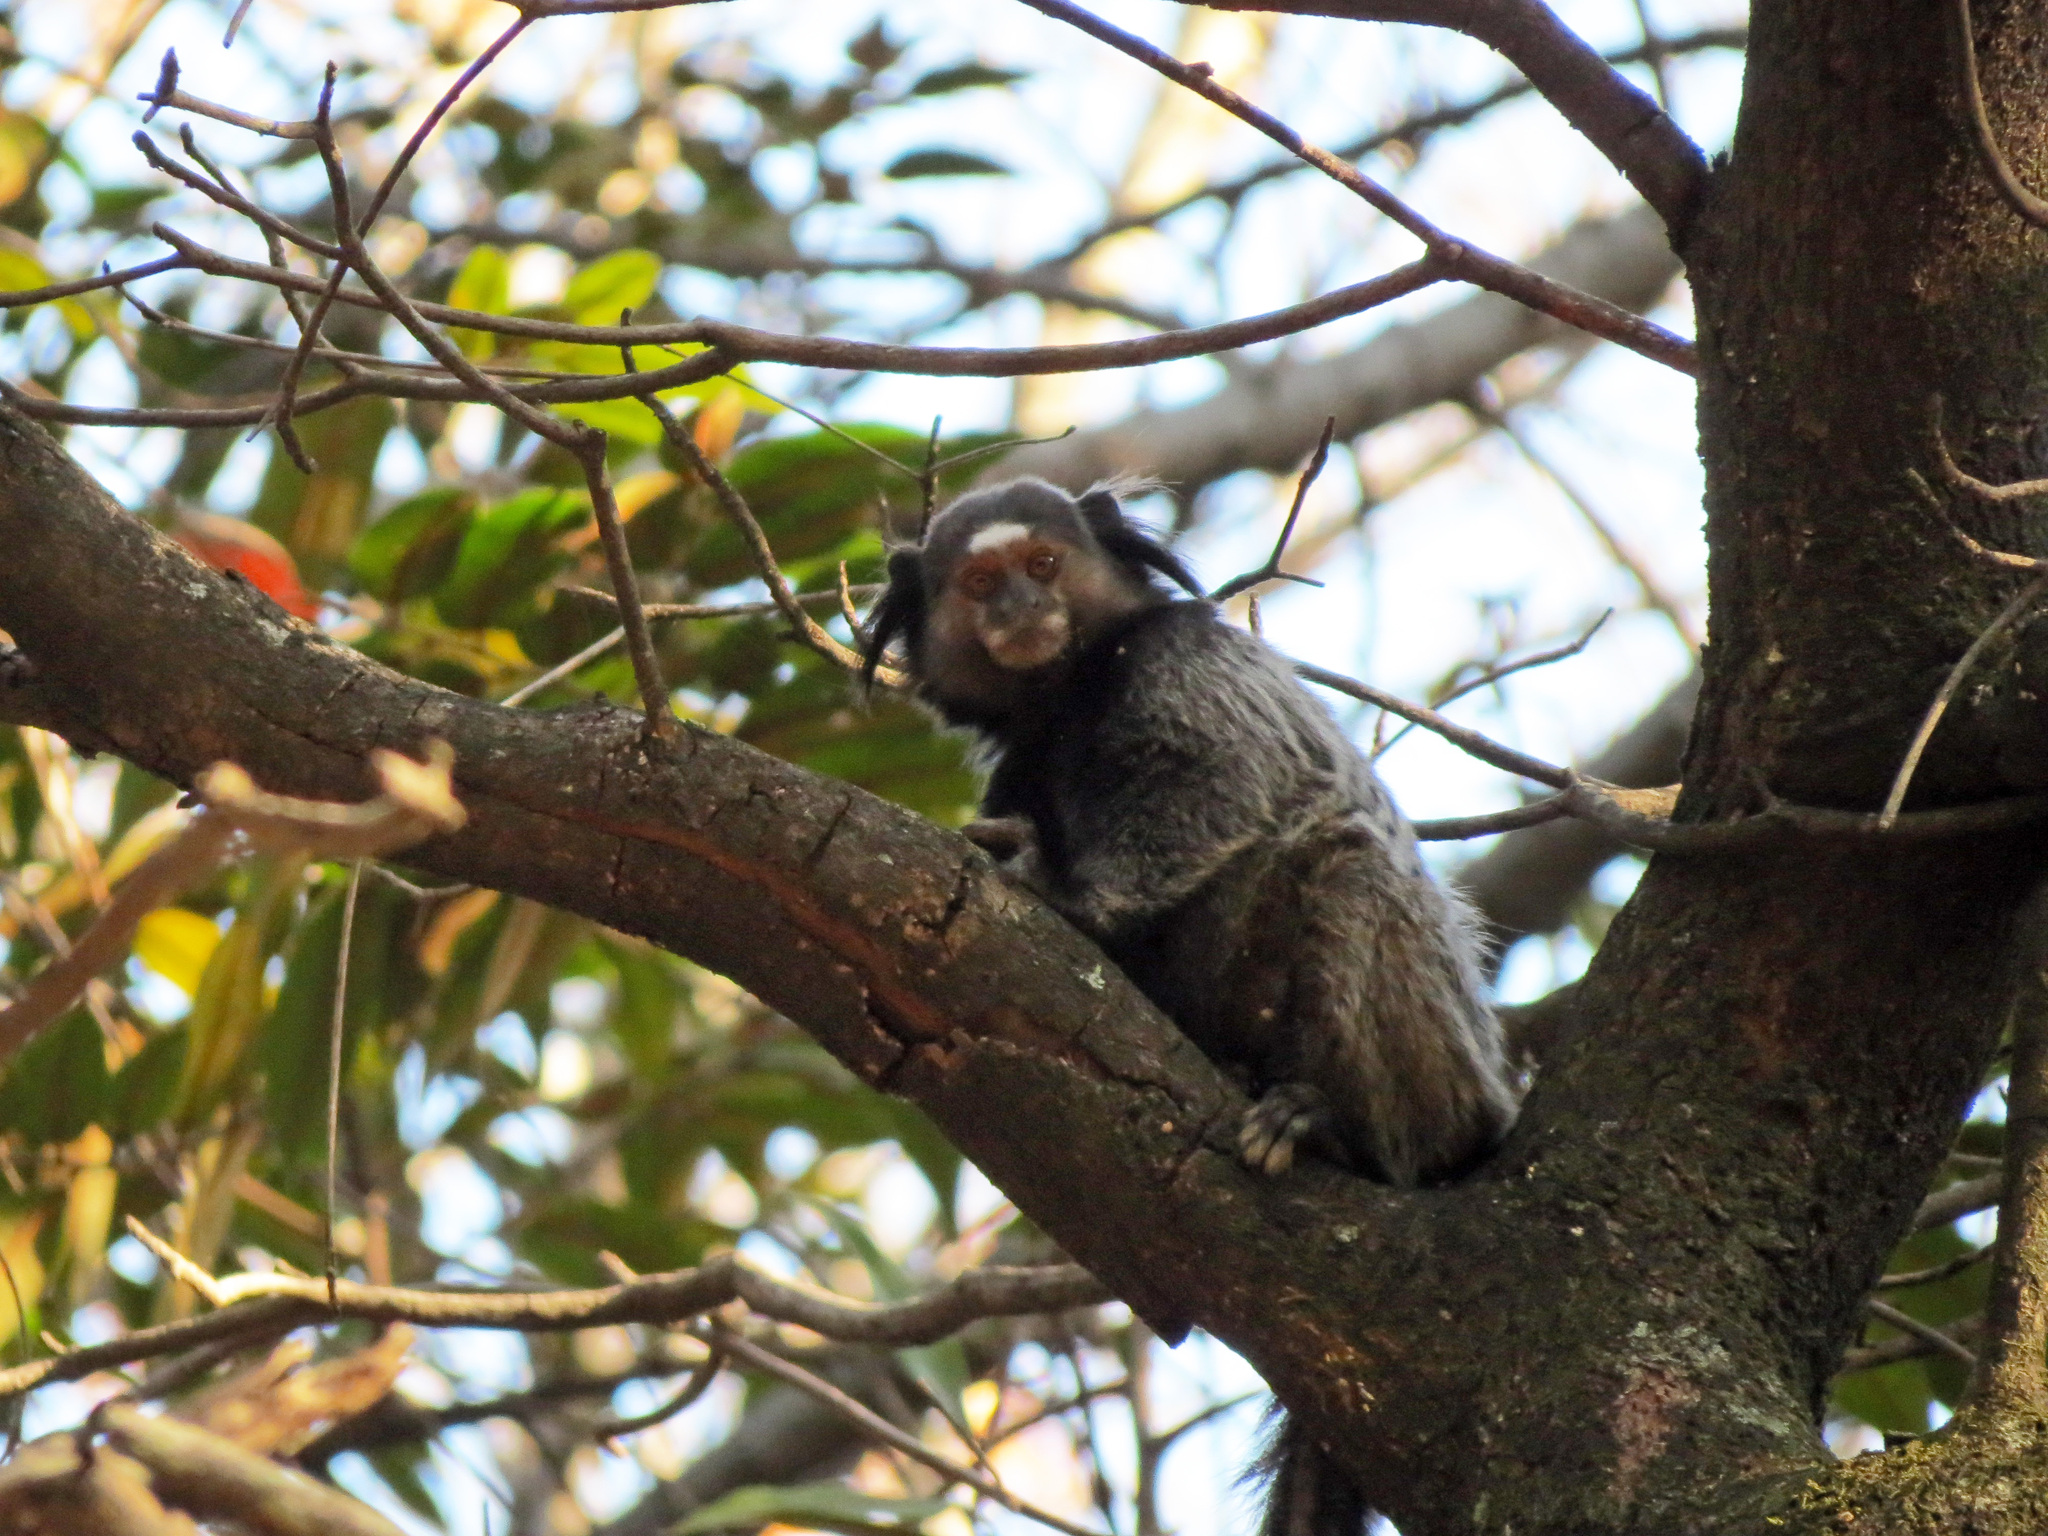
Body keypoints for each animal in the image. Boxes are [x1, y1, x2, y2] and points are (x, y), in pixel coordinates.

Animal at [864, 481, 1523, 1536]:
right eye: (980, 581)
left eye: (1044, 565)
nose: (1020, 609)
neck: (1065, 697)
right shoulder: (1016, 764)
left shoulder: (1186, 665)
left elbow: (1207, 787)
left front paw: (1068, 897)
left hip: (1452, 1077)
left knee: (1349, 867)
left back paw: (1333, 1122)